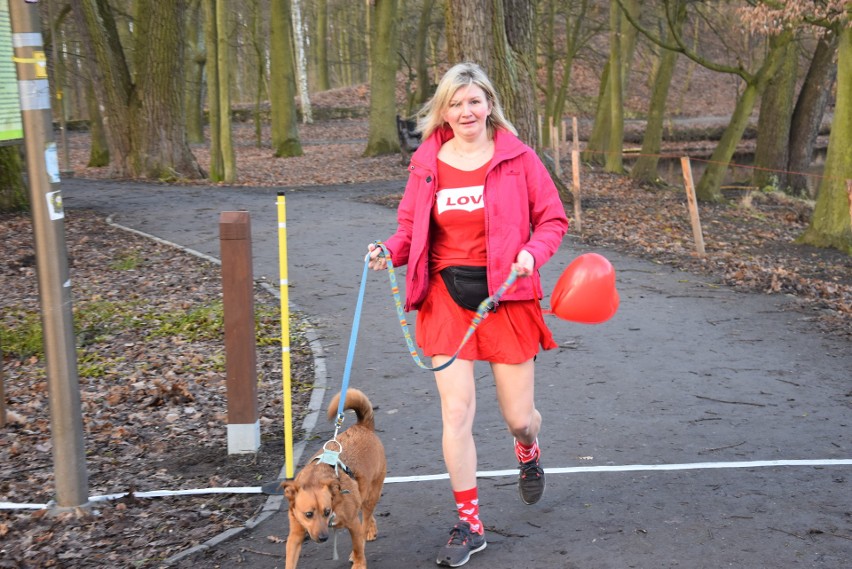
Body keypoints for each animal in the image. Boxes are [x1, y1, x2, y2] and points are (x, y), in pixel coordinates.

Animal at [282, 386, 386, 568]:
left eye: (327, 511)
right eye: (308, 514)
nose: (323, 537)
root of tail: (362, 426)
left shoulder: (353, 524)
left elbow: (358, 547)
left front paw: (359, 563)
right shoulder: (295, 536)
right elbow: (290, 562)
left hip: (371, 496)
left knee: (365, 522)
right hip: (363, 493)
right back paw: (372, 530)